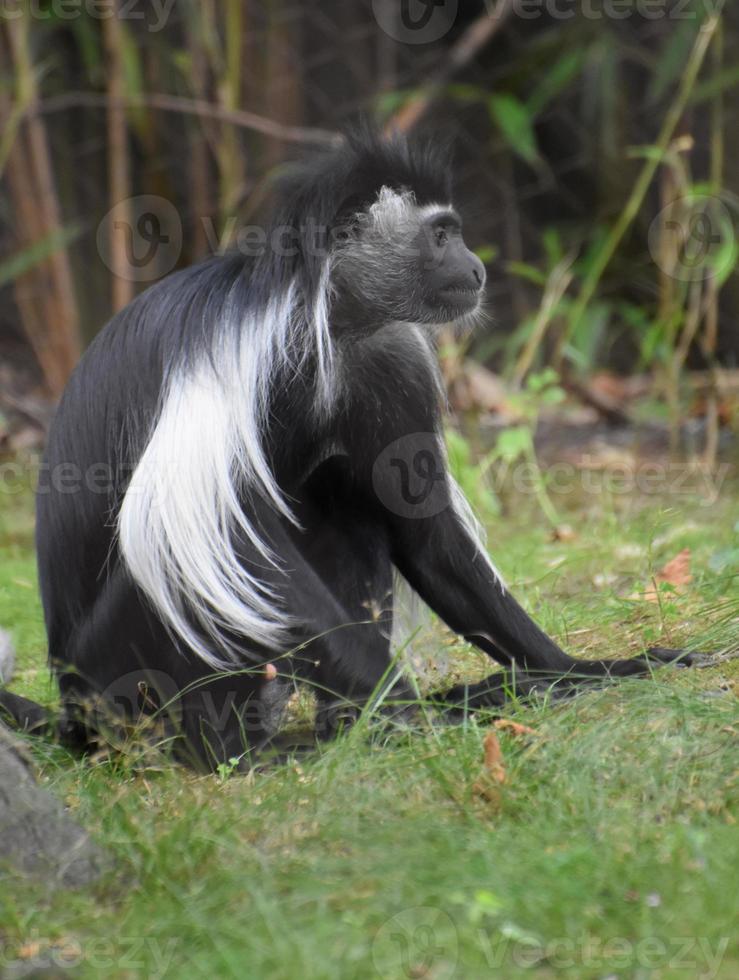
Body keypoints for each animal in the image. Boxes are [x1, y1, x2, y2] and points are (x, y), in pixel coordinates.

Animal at [0, 132, 704, 772]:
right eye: (442, 234)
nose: (476, 267)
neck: (329, 317)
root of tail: (74, 710)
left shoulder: (391, 353)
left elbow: (424, 533)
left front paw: (583, 670)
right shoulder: (237, 348)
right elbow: (232, 538)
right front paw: (418, 714)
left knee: (346, 504)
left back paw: (346, 725)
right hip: (119, 674)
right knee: (181, 562)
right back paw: (241, 753)